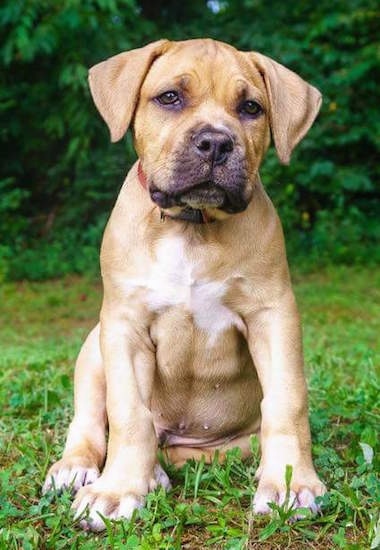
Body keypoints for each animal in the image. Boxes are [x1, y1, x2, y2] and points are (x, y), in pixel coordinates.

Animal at [43, 40, 326, 536]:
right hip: (94, 346)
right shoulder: (124, 326)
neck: (192, 226)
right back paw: (80, 467)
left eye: (251, 107)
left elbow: (288, 401)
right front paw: (118, 490)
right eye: (170, 97)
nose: (215, 142)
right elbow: (128, 413)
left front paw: (291, 484)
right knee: (92, 423)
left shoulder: (273, 315)